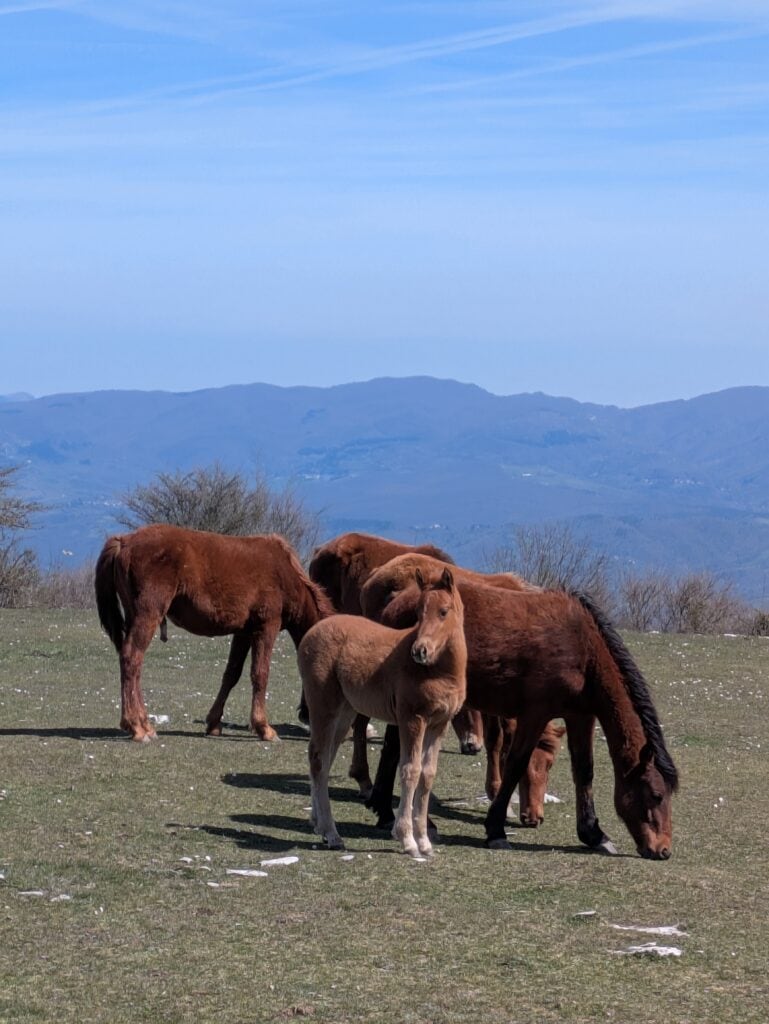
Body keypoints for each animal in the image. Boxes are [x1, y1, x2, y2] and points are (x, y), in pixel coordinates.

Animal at [94, 523, 335, 742]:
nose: (310, 721)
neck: (284, 574)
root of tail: (124, 541)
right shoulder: (266, 628)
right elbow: (260, 674)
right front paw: (263, 728)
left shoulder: (244, 633)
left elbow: (231, 674)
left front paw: (213, 722)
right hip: (147, 616)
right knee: (131, 658)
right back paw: (136, 726)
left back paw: (145, 724)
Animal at [299, 567, 467, 857]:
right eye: (419, 612)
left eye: (444, 611)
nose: (419, 651)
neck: (439, 670)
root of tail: (311, 633)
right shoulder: (412, 719)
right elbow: (410, 771)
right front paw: (408, 840)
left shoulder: (439, 724)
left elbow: (427, 774)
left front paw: (425, 841)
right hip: (324, 705)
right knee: (318, 760)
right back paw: (332, 834)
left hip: (344, 713)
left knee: (324, 758)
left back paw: (318, 824)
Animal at [360, 556, 679, 859]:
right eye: (656, 795)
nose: (664, 850)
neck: (583, 648)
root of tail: (395, 602)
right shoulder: (534, 715)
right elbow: (515, 765)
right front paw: (495, 830)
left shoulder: (581, 716)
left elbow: (584, 770)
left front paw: (594, 834)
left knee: (392, 750)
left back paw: (386, 814)